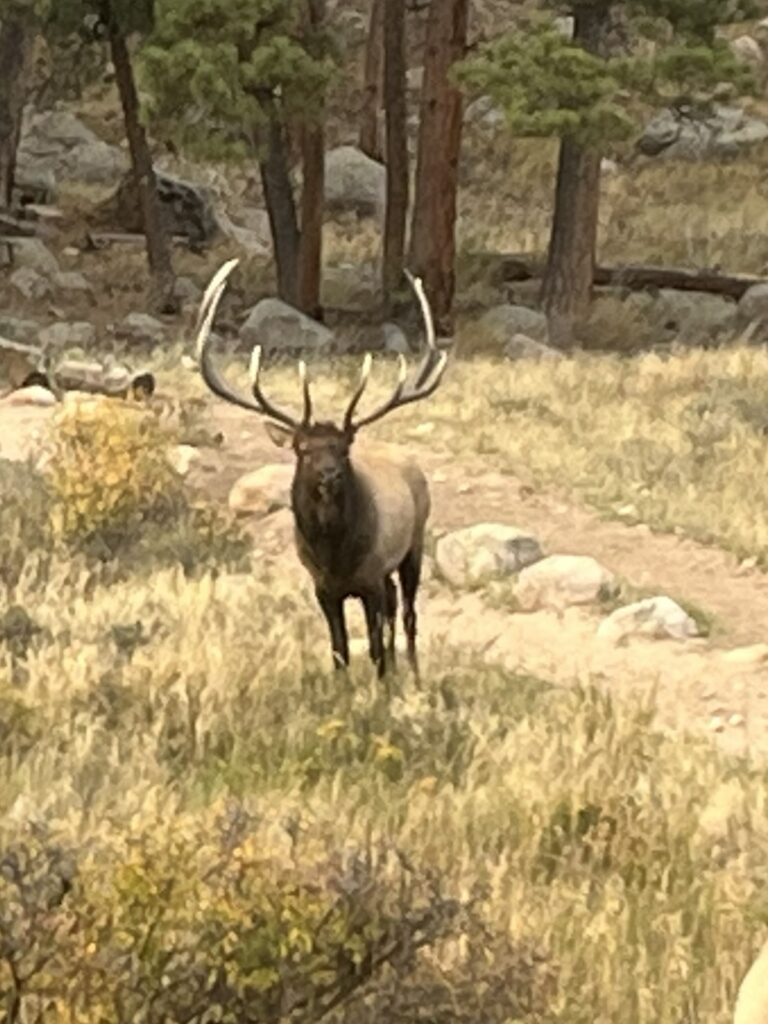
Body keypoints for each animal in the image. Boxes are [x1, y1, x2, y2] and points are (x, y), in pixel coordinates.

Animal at [193, 257, 449, 681]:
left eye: (344, 448)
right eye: (303, 449)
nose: (330, 475)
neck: (336, 558)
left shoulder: (369, 578)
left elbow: (374, 648)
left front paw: (384, 689)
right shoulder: (323, 588)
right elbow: (339, 651)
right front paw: (346, 688)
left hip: (414, 542)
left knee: (408, 613)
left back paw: (412, 673)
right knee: (395, 606)